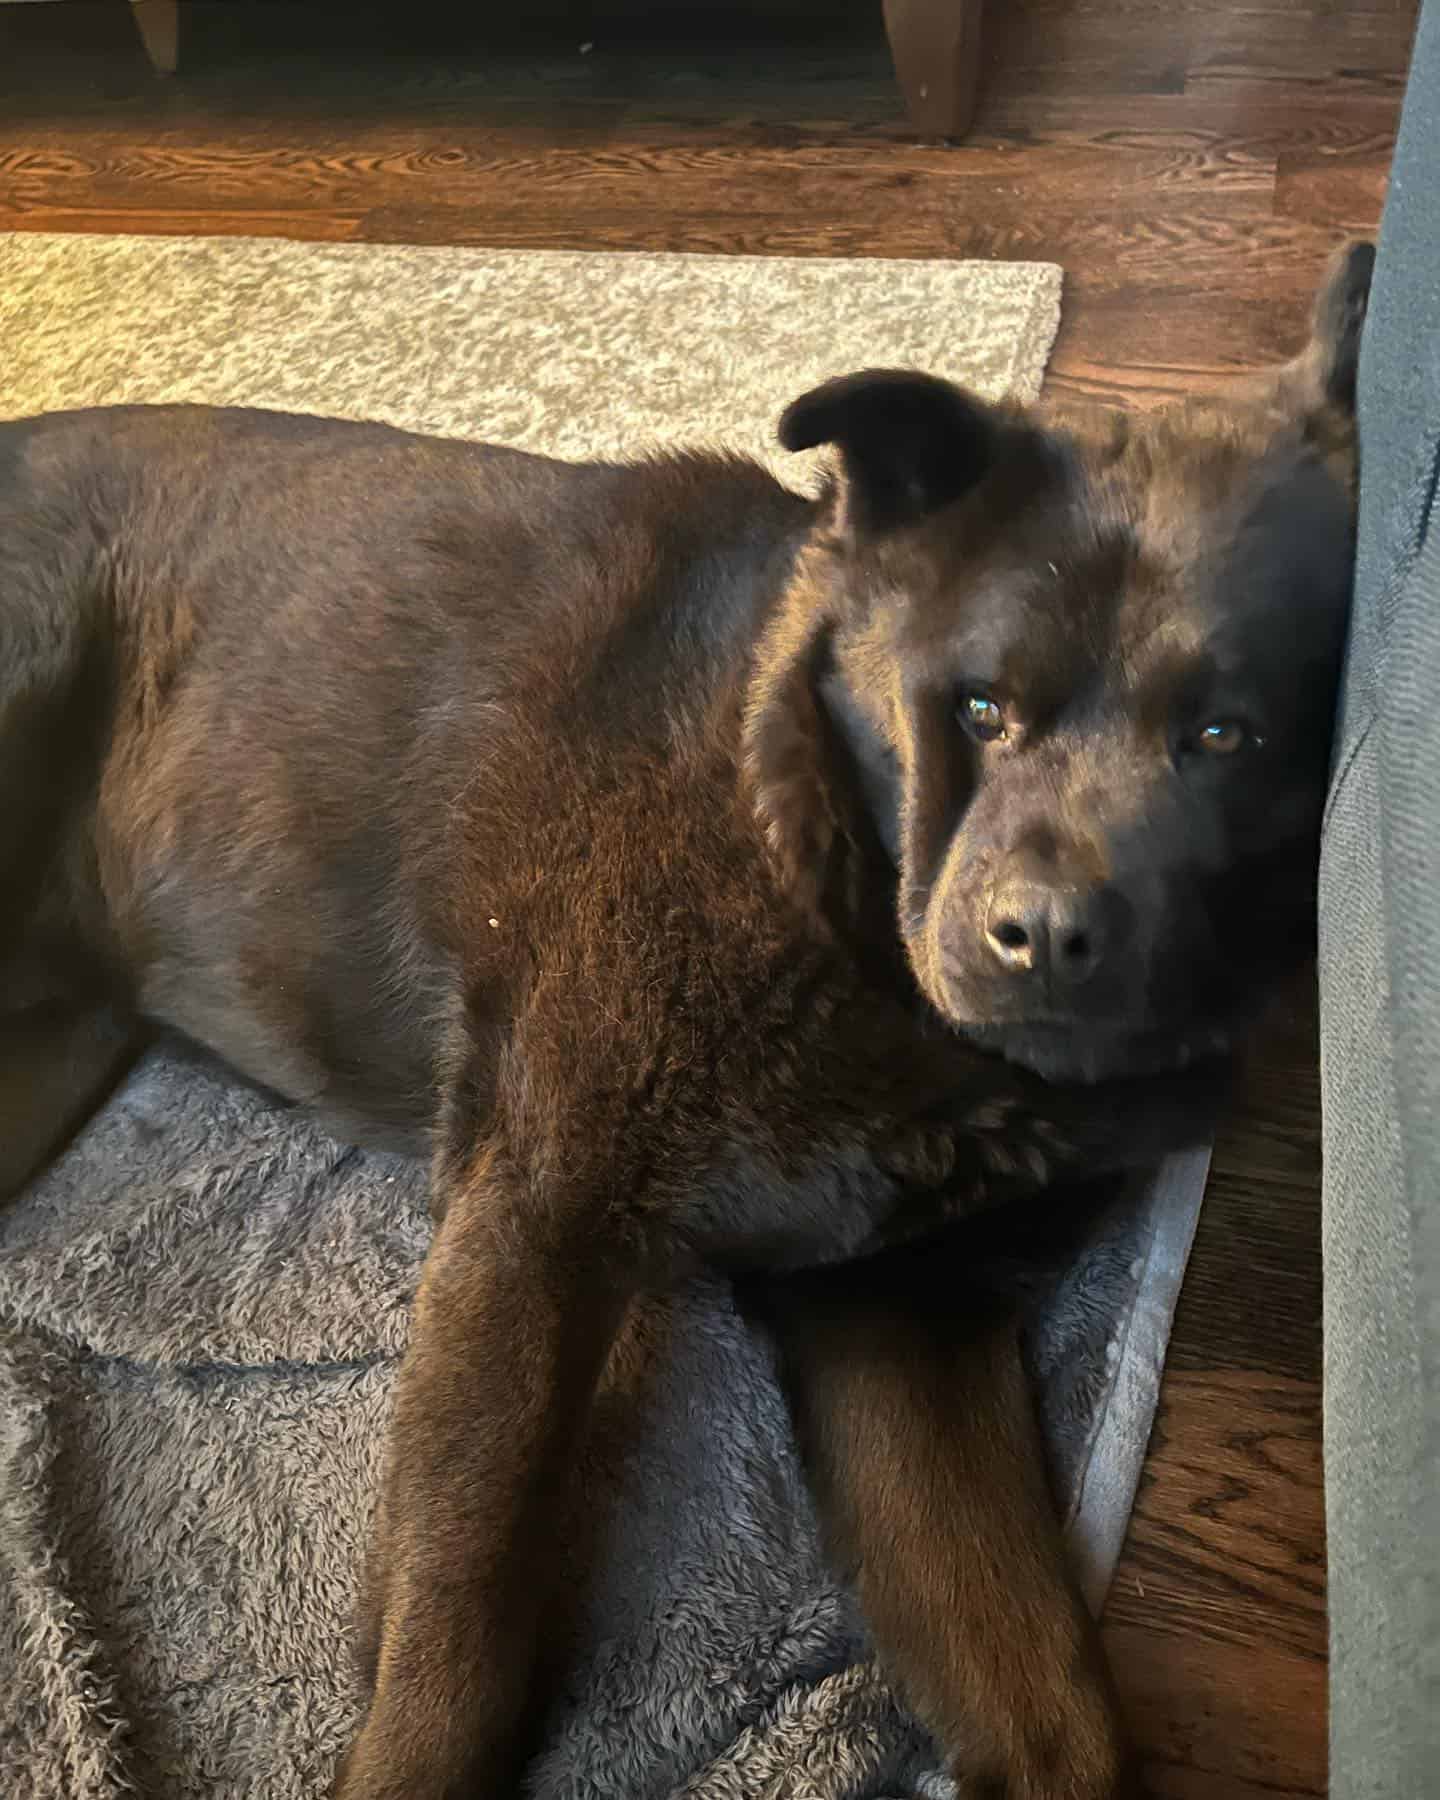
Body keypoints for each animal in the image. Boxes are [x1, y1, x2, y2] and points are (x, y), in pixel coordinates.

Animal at [0, 243, 1368, 1800]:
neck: (823, 874)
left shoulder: (903, 1321)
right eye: (979, 709)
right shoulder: (534, 1223)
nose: (1041, 940)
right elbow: (456, 1647)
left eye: (1225, 738)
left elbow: (1053, 1706)